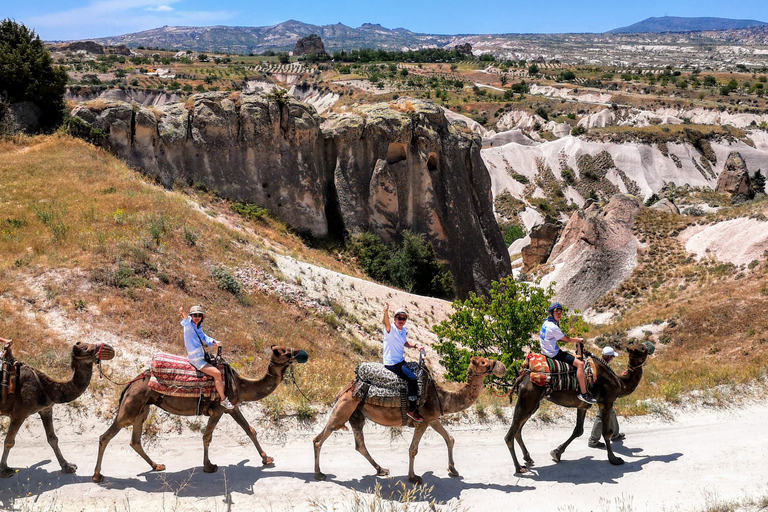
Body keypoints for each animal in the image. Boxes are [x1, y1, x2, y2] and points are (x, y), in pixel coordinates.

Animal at [0, 342, 115, 478]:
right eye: (86, 348)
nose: (108, 347)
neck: (47, 387)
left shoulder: (46, 409)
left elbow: (53, 439)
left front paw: (68, 466)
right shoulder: (19, 413)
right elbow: (9, 441)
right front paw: (4, 469)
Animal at [95, 346, 308, 482]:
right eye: (284, 351)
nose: (300, 352)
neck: (240, 384)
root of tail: (132, 382)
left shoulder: (233, 407)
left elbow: (250, 430)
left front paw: (267, 459)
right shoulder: (219, 409)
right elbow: (207, 436)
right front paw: (209, 466)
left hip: (142, 408)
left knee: (135, 440)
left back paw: (157, 466)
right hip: (131, 407)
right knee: (105, 436)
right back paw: (97, 476)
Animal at [316, 356, 508, 484]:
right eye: (484, 362)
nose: (502, 366)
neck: (441, 397)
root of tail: (346, 388)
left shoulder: (432, 419)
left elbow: (450, 438)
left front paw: (453, 469)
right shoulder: (422, 422)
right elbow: (413, 449)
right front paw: (413, 477)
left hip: (356, 414)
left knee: (360, 444)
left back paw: (381, 469)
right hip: (343, 409)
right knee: (319, 439)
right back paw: (319, 474)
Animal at [508, 342, 652, 474]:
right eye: (641, 349)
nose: (647, 347)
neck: (620, 383)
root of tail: (523, 375)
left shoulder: (583, 406)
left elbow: (578, 430)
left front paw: (556, 453)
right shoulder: (607, 402)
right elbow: (607, 432)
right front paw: (614, 459)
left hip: (532, 404)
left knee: (518, 430)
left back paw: (528, 458)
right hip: (528, 398)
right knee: (510, 434)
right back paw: (519, 467)